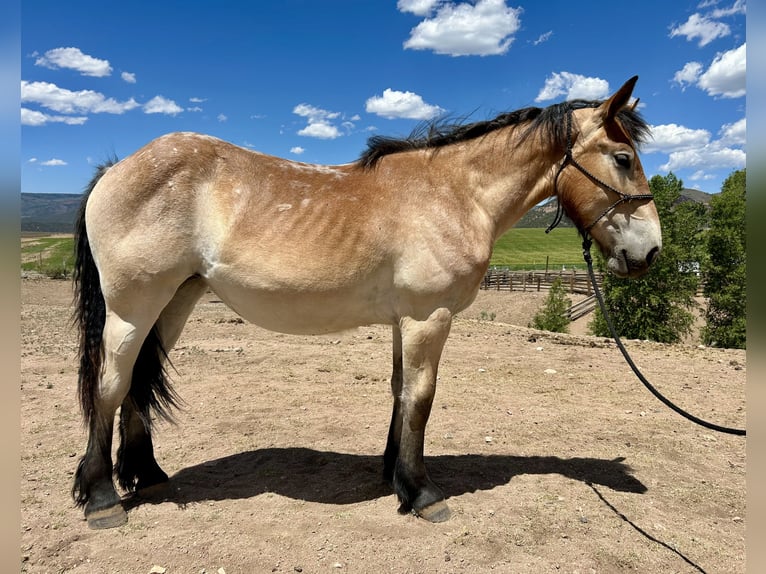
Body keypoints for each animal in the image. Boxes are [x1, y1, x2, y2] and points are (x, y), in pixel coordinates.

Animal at [71, 76, 661, 529]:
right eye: (623, 158)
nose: (651, 251)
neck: (454, 194)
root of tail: (117, 169)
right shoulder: (428, 317)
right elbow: (421, 398)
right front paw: (422, 493)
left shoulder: (404, 320)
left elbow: (400, 392)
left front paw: (393, 473)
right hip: (132, 308)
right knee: (111, 385)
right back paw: (102, 499)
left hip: (174, 302)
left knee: (138, 382)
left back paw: (147, 476)